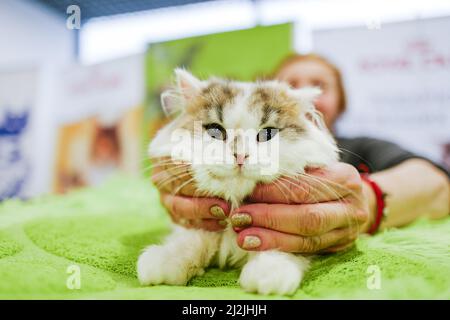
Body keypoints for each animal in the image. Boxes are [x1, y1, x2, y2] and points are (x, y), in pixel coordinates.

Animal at [137, 69, 338, 296]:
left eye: (267, 133)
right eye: (215, 131)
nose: (240, 156)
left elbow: (277, 245)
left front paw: (268, 275)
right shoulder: (199, 224)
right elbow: (189, 240)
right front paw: (163, 263)